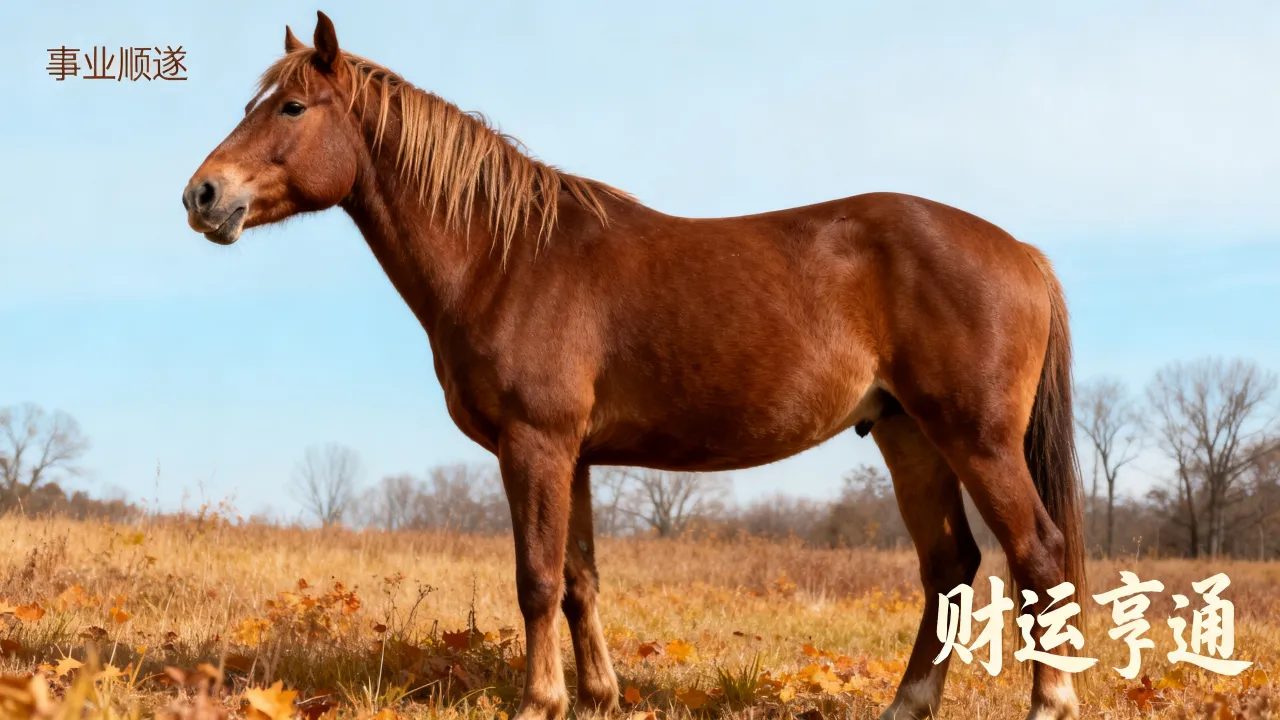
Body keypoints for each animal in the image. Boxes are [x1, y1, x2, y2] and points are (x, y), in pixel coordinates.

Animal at [182, 12, 1087, 720]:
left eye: (292, 106)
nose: (203, 195)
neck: (507, 256)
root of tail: (1021, 252)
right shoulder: (573, 455)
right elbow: (580, 578)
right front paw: (597, 697)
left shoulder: (537, 443)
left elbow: (537, 577)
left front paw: (538, 702)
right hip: (908, 436)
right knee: (950, 568)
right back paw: (907, 704)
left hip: (976, 439)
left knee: (1036, 553)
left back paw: (1050, 702)